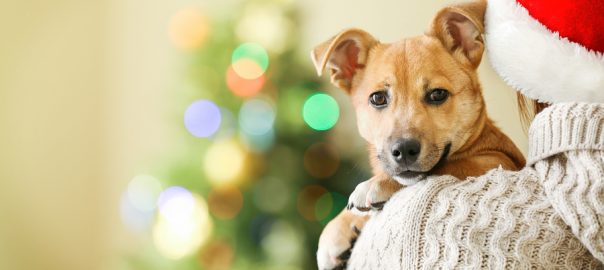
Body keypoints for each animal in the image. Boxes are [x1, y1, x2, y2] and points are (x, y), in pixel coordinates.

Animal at [312, 1, 524, 268]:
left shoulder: (500, 160)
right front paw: (336, 230)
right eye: (378, 98)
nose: (403, 151)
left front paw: (377, 184)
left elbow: (450, 166)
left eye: (437, 94)